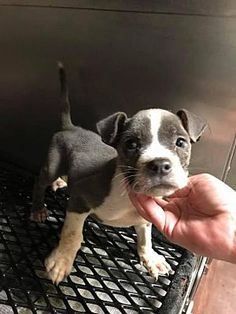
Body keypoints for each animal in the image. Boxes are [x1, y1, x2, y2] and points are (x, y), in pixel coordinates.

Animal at [30, 63, 206, 284]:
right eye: (131, 144)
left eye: (181, 142)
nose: (159, 165)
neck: (128, 195)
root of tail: (70, 127)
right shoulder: (80, 198)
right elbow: (72, 234)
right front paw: (62, 260)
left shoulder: (143, 218)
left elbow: (145, 237)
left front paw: (150, 257)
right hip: (51, 166)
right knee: (39, 182)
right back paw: (38, 208)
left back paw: (60, 183)